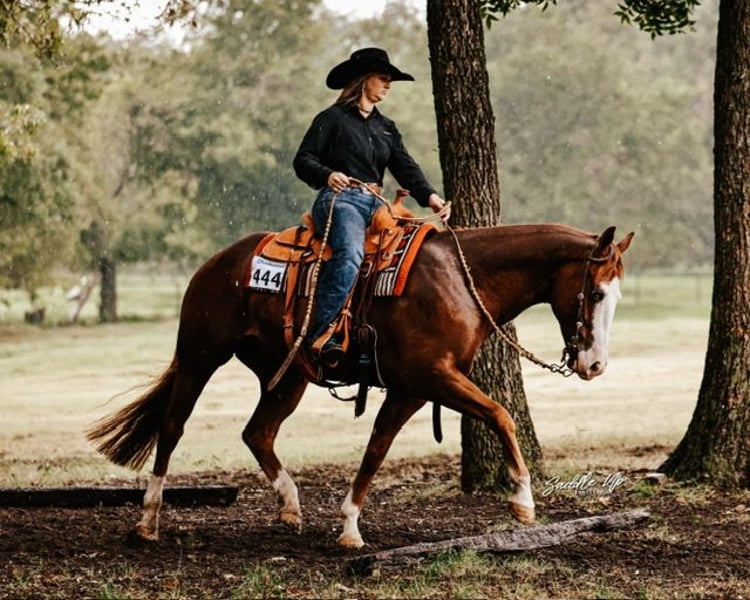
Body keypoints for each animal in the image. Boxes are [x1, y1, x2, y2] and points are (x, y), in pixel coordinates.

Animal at [87, 222, 634, 549]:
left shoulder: (414, 389)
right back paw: (149, 519)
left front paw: (349, 524)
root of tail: (216, 263)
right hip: (200, 358)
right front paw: (523, 501)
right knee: (173, 427)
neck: (461, 279)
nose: (596, 365)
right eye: (596, 292)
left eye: (617, 296)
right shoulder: (431, 377)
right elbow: (500, 414)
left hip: (286, 376)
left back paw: (290, 507)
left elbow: (376, 448)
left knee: (257, 432)